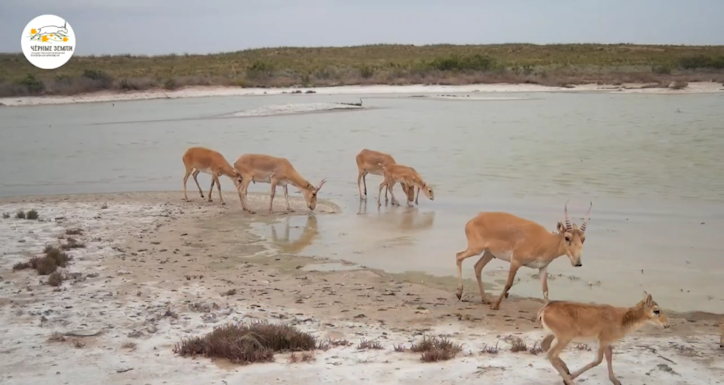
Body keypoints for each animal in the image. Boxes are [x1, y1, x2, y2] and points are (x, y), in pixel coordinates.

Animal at [456, 201, 592, 308]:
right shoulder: (516, 261)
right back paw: (459, 293)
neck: (545, 241)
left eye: (583, 238)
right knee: (459, 256)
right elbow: (508, 283)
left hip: (489, 253)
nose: (578, 263)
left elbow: (545, 290)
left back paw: (485, 299)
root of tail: (474, 219)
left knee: (477, 267)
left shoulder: (543, 267)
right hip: (476, 249)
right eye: (567, 237)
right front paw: (496, 305)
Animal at [540, 292, 672, 384]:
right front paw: (570, 378)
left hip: (553, 335)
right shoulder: (602, 340)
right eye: (656, 311)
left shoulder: (608, 342)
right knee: (551, 354)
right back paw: (570, 381)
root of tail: (544, 310)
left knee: (544, 345)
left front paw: (615, 381)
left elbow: (609, 356)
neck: (623, 319)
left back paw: (566, 369)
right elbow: (598, 360)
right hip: (565, 337)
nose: (667, 324)